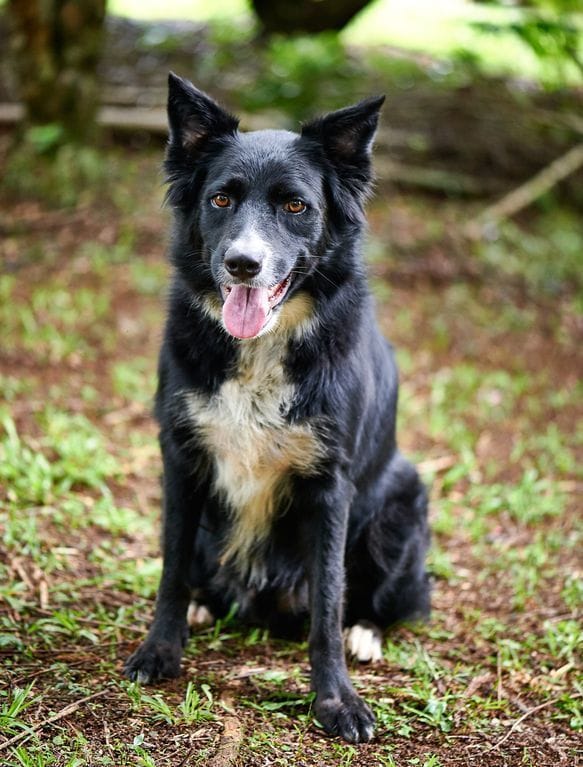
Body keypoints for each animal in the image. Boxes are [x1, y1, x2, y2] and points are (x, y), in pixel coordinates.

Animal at [125, 76, 432, 744]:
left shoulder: (330, 484)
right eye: (220, 199)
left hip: (402, 503)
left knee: (389, 601)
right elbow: (170, 568)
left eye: (296, 207)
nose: (243, 264)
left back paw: (366, 634)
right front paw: (161, 650)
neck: (262, 345)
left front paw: (336, 699)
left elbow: (328, 601)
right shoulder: (181, 459)